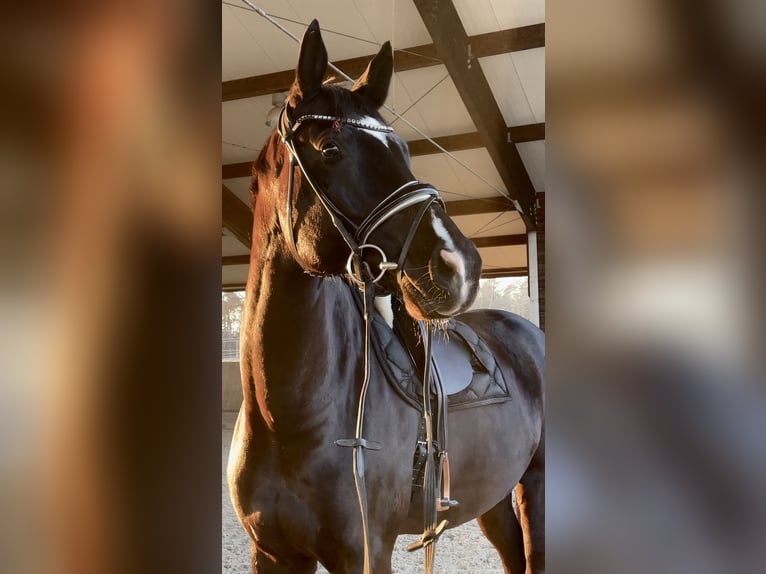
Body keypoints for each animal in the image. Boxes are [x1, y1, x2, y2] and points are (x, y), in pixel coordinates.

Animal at [227, 20, 544, 574]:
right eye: (330, 150)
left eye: (404, 151)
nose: (461, 265)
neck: (288, 420)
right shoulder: (270, 553)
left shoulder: (367, 553)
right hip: (495, 498)